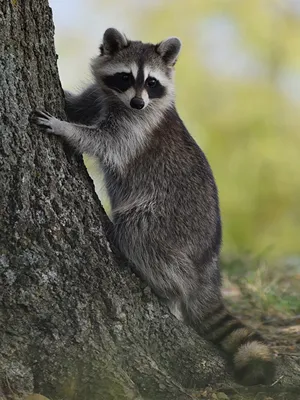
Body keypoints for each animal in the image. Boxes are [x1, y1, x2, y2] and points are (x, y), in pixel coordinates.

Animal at [31, 27, 276, 384]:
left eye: (152, 82)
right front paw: (65, 101)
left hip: (167, 224)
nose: (138, 102)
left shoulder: (136, 130)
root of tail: (208, 262)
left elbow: (103, 142)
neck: (120, 101)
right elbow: (77, 105)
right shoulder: (100, 96)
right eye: (125, 77)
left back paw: (168, 290)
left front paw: (65, 128)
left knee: (138, 233)